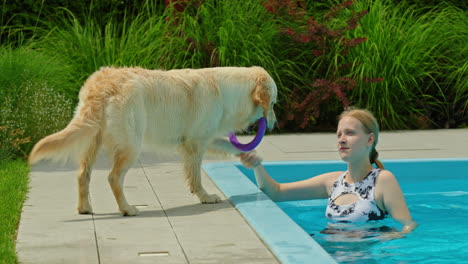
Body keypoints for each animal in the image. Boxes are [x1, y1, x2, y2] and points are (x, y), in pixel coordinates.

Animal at [28, 65, 278, 214]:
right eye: (274, 103)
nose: (274, 124)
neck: (227, 91)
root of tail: (102, 85)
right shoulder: (195, 143)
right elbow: (196, 177)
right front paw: (206, 197)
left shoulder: (203, 138)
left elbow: (229, 145)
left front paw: (252, 158)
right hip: (131, 146)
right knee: (113, 177)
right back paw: (127, 209)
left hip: (93, 140)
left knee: (83, 174)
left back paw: (85, 208)